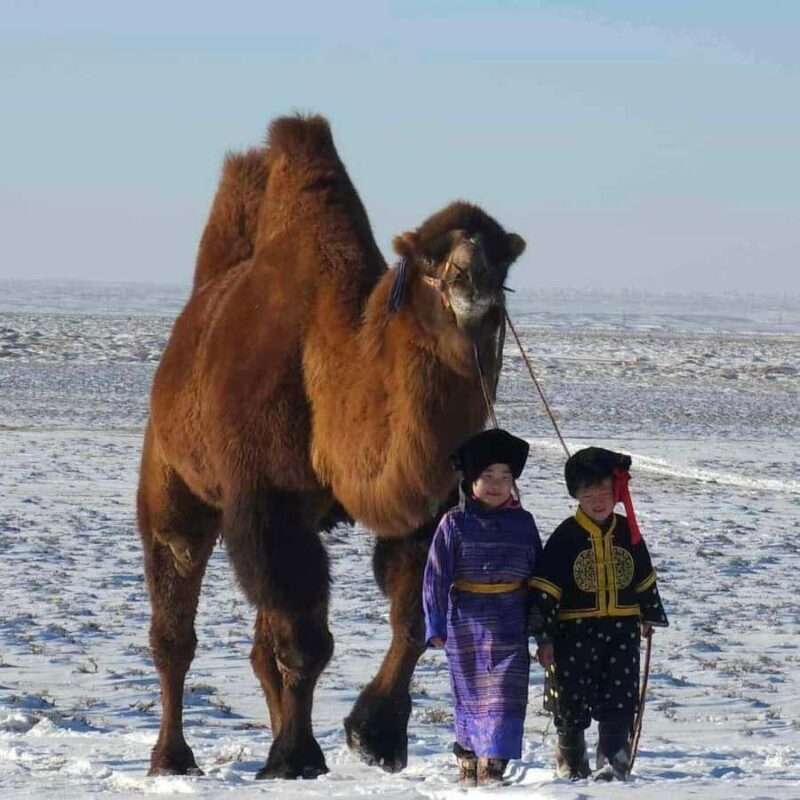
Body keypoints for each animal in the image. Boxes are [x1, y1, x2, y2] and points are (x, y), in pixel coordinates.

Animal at [137, 114, 526, 779]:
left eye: (501, 259)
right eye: (430, 256)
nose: (469, 280)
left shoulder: (421, 507)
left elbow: (411, 615)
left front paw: (374, 735)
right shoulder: (266, 499)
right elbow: (304, 640)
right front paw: (297, 757)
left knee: (258, 644)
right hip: (171, 476)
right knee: (175, 623)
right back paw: (172, 758)